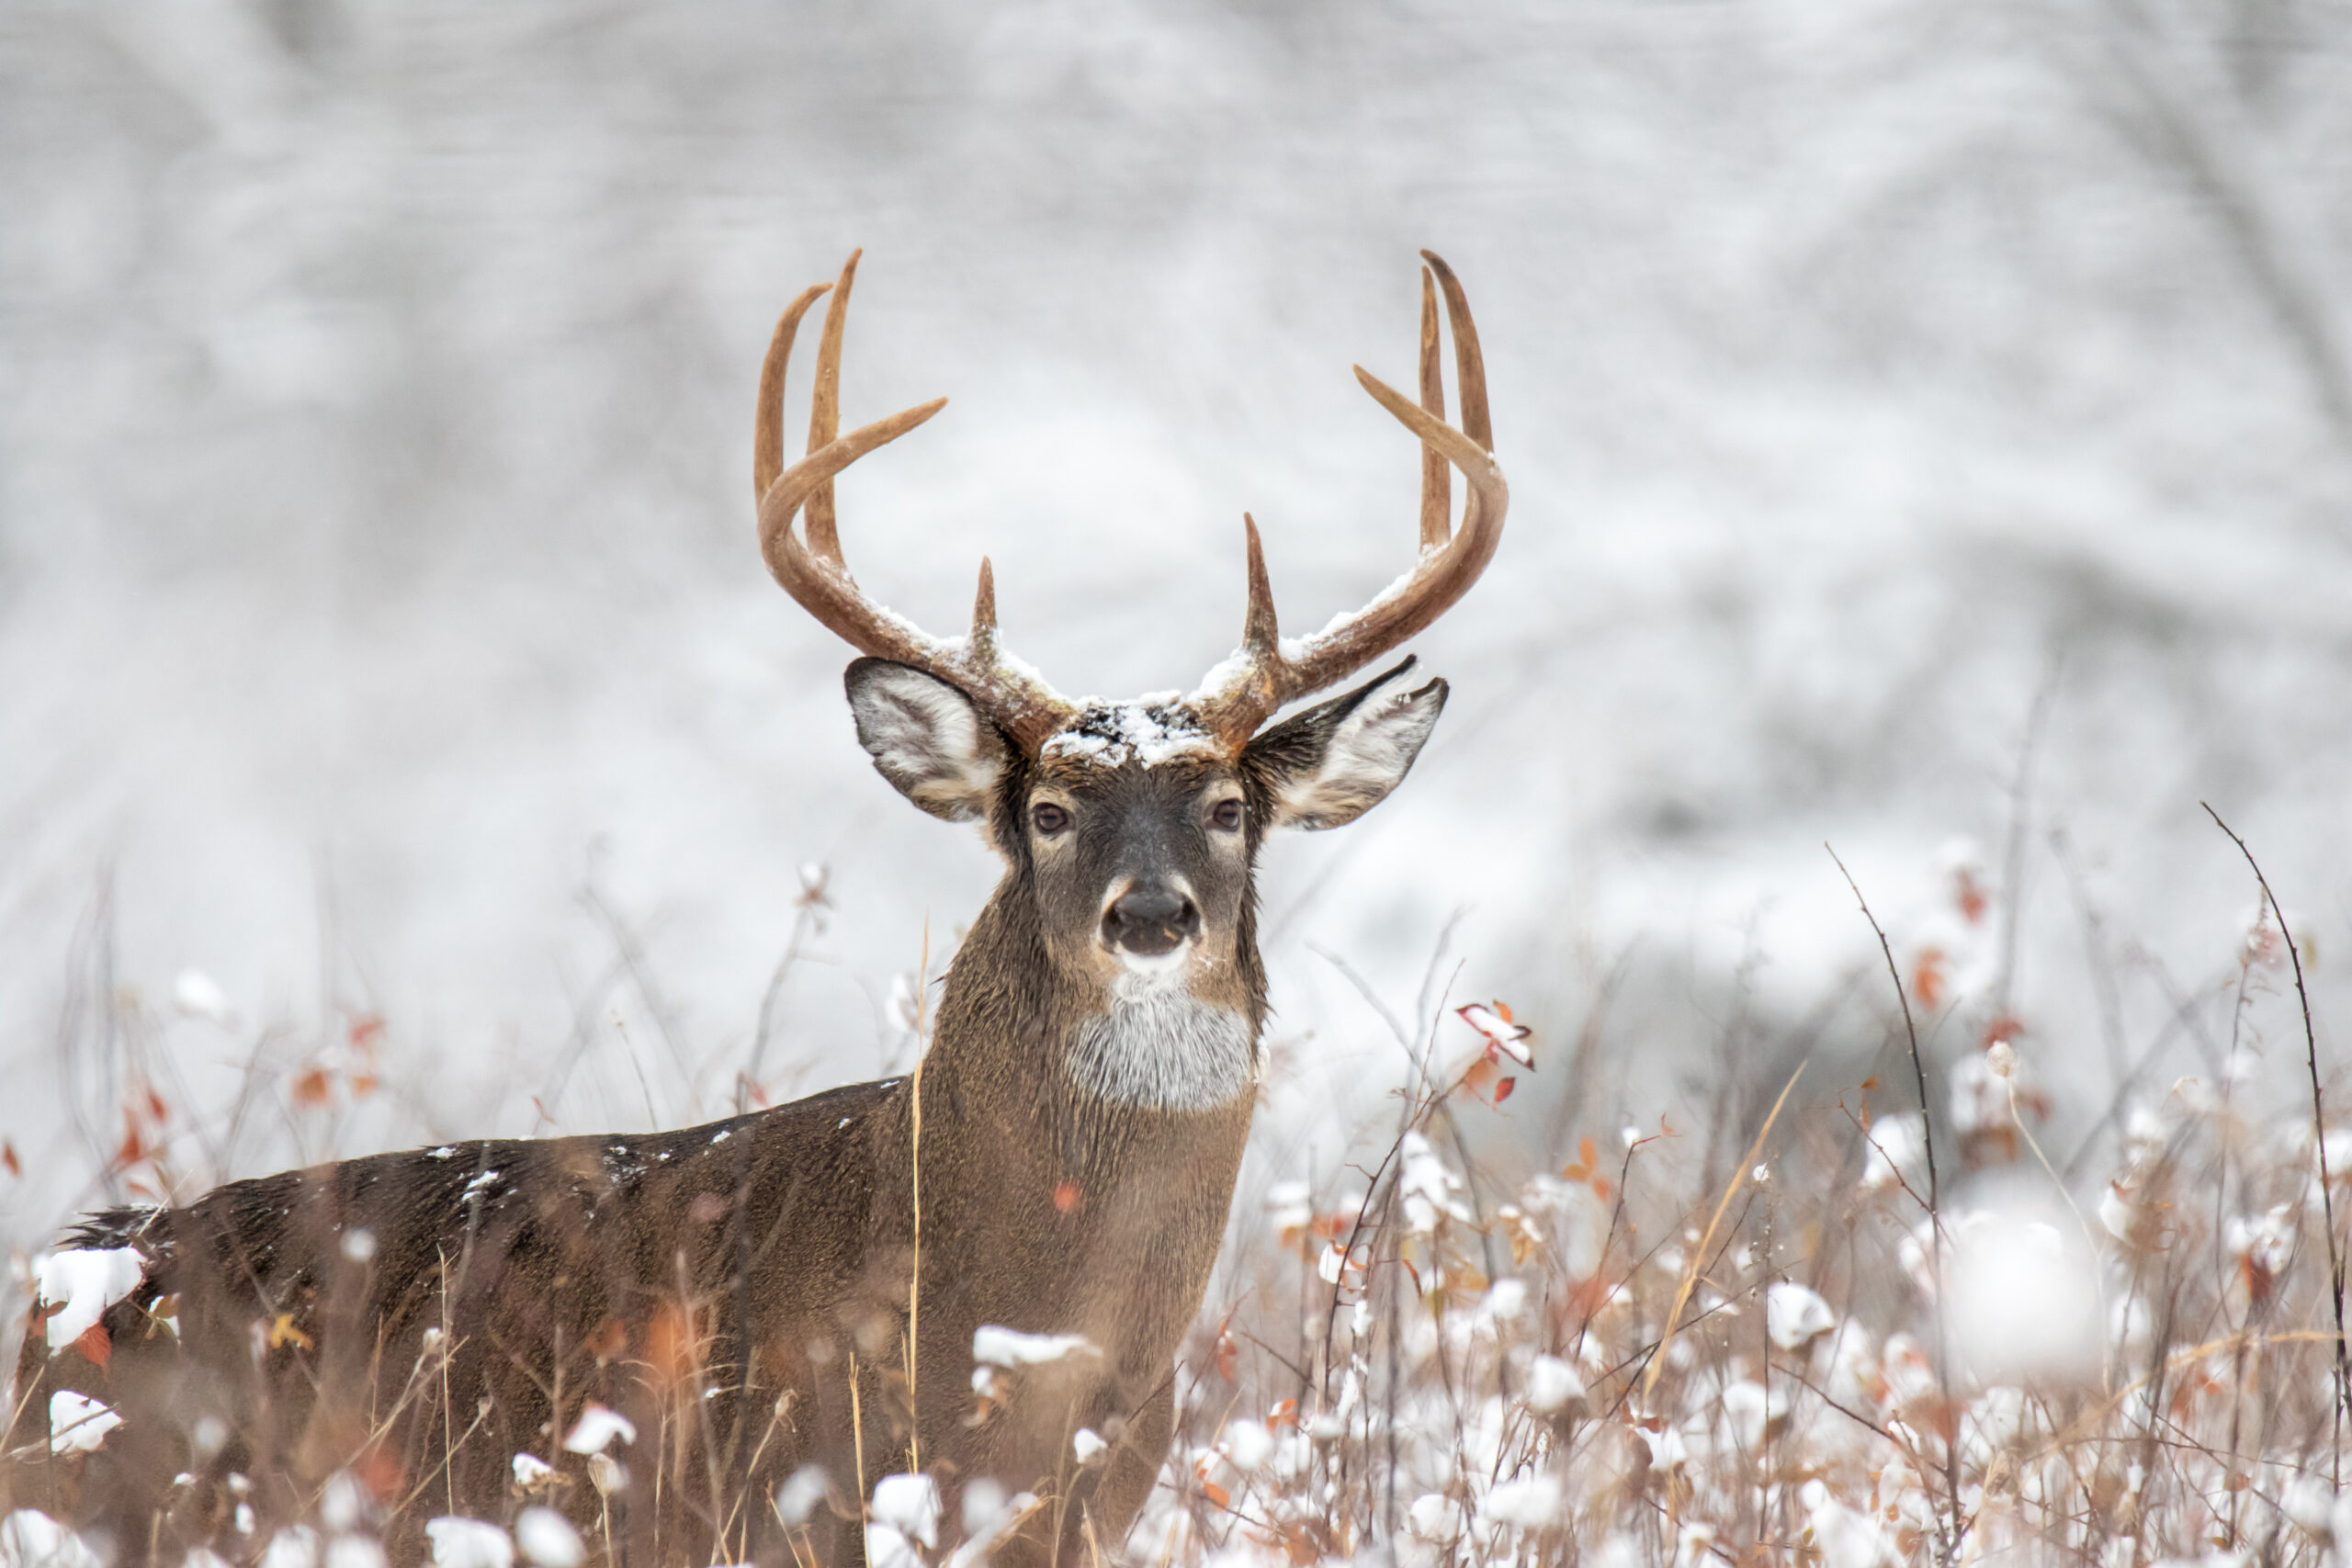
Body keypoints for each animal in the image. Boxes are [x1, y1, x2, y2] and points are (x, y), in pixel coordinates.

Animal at [9, 251, 1505, 1561]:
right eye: (1047, 810)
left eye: (1230, 806)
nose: (1149, 917)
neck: (1011, 1327)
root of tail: (63, 1295)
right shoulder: (786, 1490)